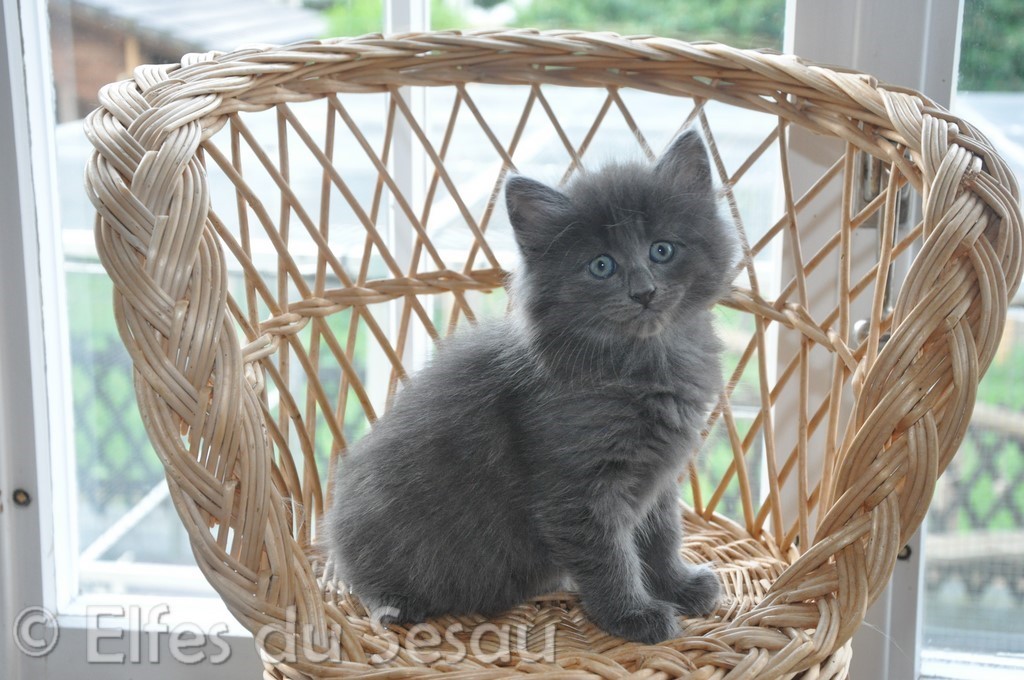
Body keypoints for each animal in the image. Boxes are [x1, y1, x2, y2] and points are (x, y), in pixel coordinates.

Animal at [324, 130, 737, 644]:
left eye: (662, 250)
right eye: (602, 265)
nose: (644, 292)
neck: (645, 363)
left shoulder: (658, 479)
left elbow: (660, 538)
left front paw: (677, 585)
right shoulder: (578, 490)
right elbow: (611, 557)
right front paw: (632, 614)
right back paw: (395, 606)